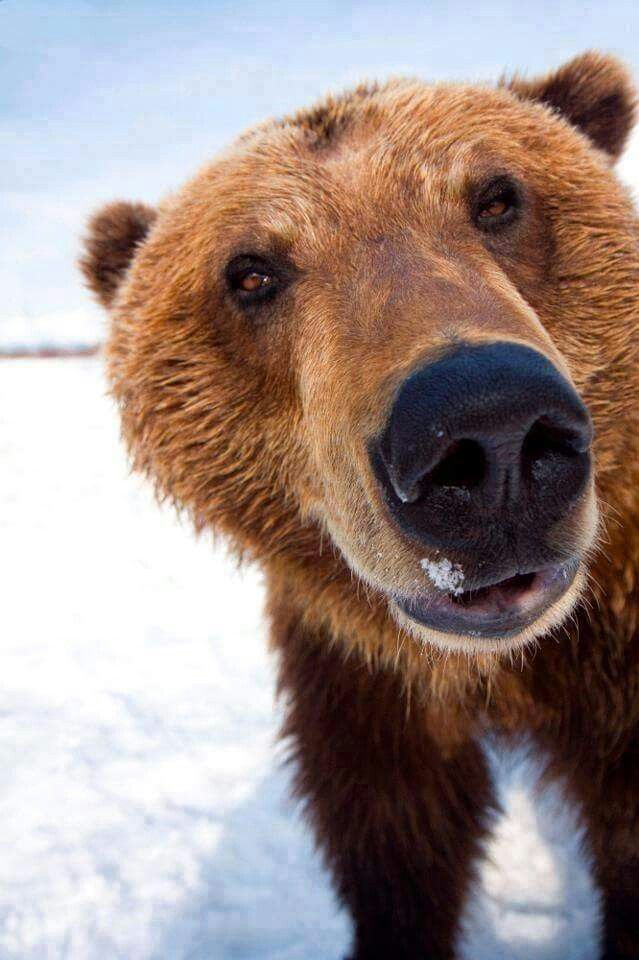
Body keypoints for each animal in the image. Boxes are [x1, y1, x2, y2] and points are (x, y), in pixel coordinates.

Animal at [81, 51, 639, 959]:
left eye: (497, 197)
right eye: (250, 271)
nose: (487, 430)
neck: (511, 666)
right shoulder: (358, 670)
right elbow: (394, 837)